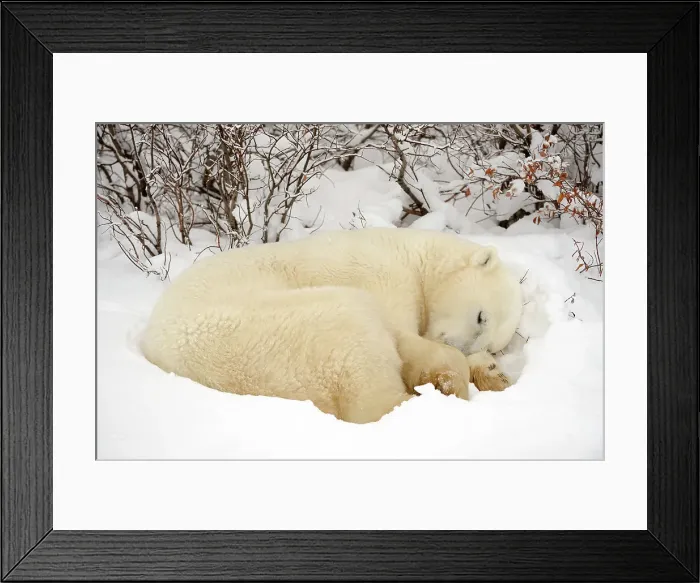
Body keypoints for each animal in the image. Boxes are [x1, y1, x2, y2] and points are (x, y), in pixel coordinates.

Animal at [140, 227, 523, 424]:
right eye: (480, 316)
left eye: (495, 343)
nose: (468, 349)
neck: (410, 254)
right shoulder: (378, 273)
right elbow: (402, 334)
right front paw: (453, 375)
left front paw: (491, 371)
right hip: (282, 333)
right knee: (368, 383)